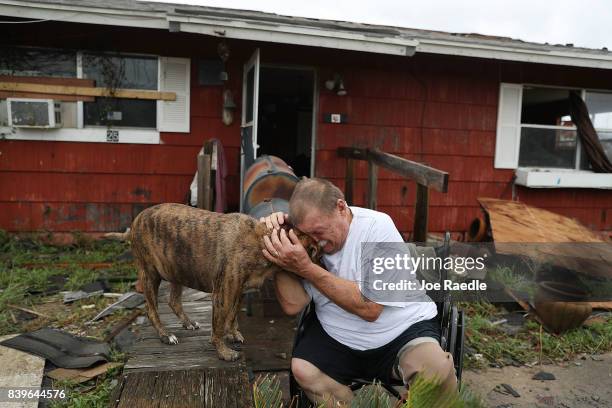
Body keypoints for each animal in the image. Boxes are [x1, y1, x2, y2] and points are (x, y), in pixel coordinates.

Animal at [120, 203, 320, 360]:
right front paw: (224, 352)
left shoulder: (239, 292)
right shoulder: (223, 295)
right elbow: (218, 326)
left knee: (173, 301)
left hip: (176, 269)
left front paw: (232, 334)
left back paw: (188, 322)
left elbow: (231, 317)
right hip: (150, 274)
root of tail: (136, 220)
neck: (262, 240)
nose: (321, 269)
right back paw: (165, 335)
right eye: (315, 251)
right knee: (151, 309)